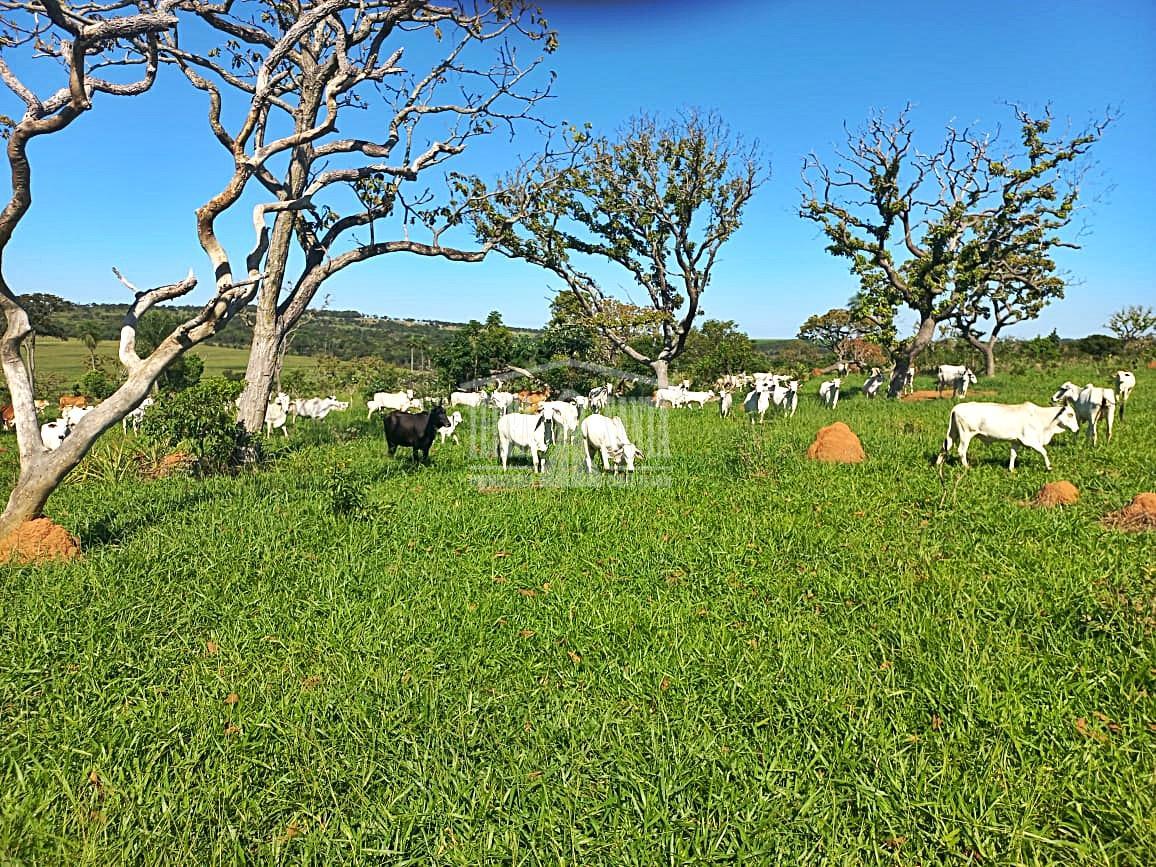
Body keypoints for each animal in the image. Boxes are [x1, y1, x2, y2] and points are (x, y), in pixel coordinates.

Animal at [934, 404, 1077, 471]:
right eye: (1070, 414)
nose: (1077, 429)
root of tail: (956, 408)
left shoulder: (1015, 441)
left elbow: (1013, 455)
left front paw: (1011, 469)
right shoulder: (1030, 440)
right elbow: (1044, 451)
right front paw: (1049, 467)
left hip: (953, 434)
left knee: (944, 447)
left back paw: (937, 464)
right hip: (966, 434)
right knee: (961, 451)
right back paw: (967, 467)